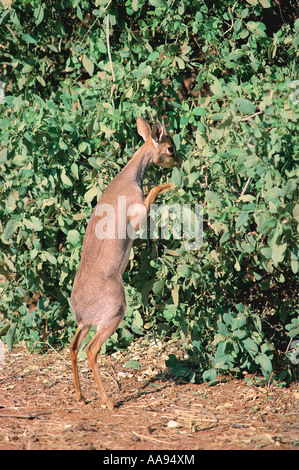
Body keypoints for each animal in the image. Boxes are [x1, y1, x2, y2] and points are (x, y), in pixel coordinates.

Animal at [70, 116, 182, 408]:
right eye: (170, 148)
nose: (179, 162)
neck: (128, 179)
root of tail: (80, 309)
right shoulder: (140, 214)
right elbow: (152, 193)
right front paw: (171, 186)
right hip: (114, 314)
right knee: (91, 350)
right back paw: (108, 402)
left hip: (86, 324)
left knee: (74, 347)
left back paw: (81, 397)